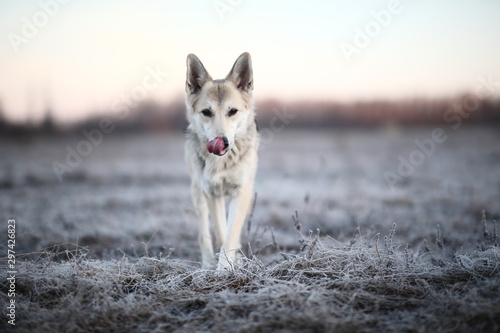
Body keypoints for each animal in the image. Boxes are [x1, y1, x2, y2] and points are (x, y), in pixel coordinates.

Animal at [186, 52, 260, 270]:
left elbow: (231, 234)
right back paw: (208, 263)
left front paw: (227, 268)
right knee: (203, 234)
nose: (223, 142)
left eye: (232, 111)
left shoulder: (242, 192)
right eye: (206, 112)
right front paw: (221, 269)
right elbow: (220, 233)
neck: (223, 163)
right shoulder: (212, 193)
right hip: (198, 194)